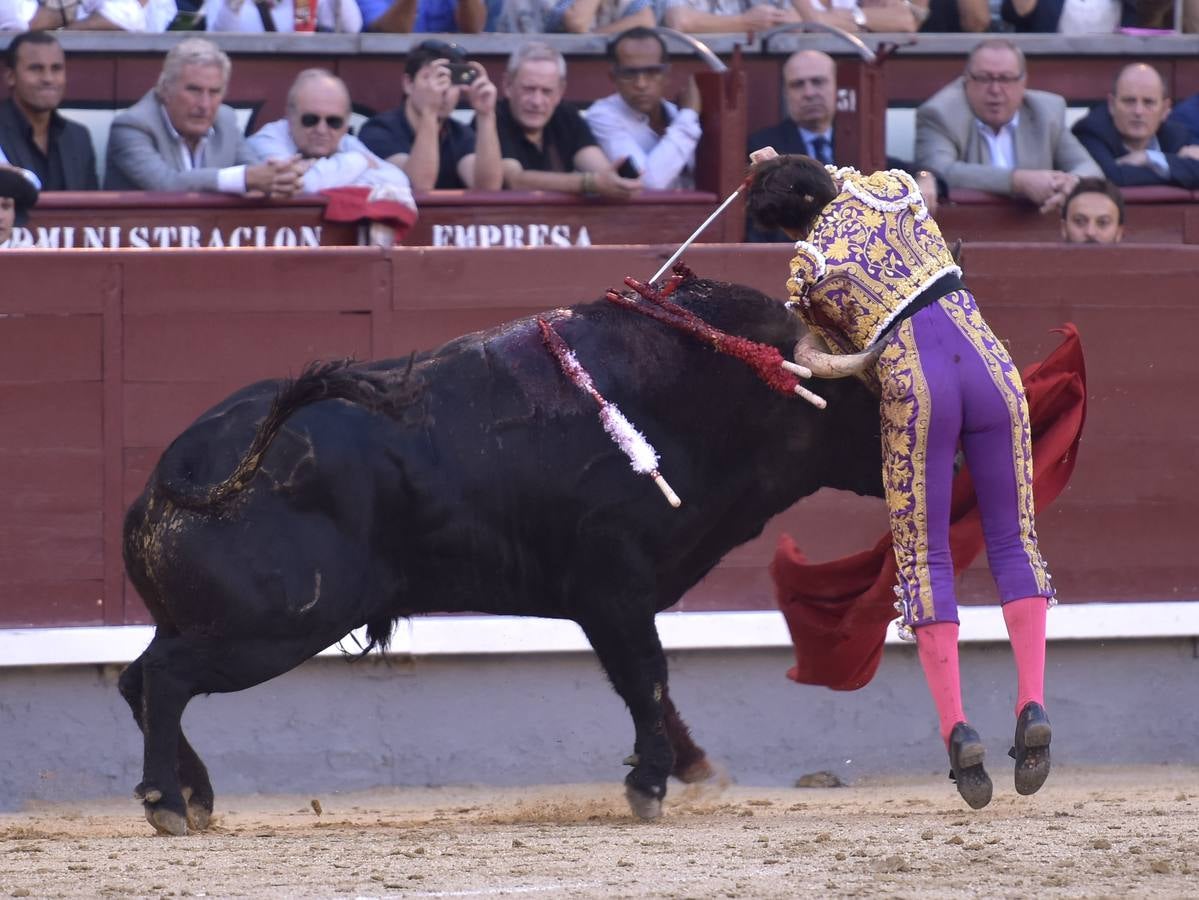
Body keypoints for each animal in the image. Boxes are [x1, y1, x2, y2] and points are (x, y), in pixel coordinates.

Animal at [121, 274, 887, 838]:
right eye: (872, 392)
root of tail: (178, 467)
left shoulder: (617, 600)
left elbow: (651, 683)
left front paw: (689, 769)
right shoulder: (612, 587)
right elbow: (646, 677)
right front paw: (648, 785)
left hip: (218, 622)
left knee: (139, 680)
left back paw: (193, 797)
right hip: (278, 624)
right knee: (164, 677)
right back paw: (168, 803)